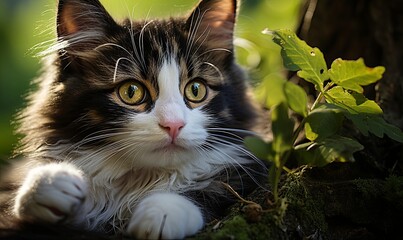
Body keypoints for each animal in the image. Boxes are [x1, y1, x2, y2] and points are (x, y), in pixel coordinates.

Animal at [0, 0, 266, 239]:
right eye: (131, 92)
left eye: (196, 90)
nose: (173, 125)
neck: (141, 180)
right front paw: (51, 182)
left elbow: (212, 190)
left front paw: (161, 212)